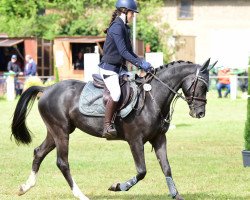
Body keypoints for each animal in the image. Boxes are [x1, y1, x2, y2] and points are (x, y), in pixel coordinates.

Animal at [11, 58, 215, 199]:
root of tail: (47, 89)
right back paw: (80, 195)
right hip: (61, 132)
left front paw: (176, 195)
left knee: (39, 152)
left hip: (56, 132)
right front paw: (117, 187)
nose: (200, 113)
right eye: (201, 85)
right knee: (62, 162)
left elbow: (166, 168)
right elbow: (141, 171)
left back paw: (25, 187)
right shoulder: (135, 140)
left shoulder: (159, 139)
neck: (153, 98)